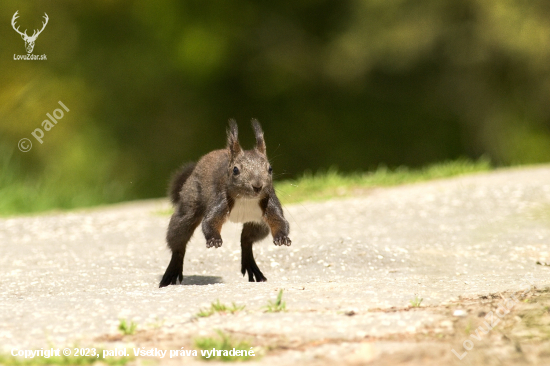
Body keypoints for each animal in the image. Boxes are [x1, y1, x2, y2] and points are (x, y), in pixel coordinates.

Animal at [158, 118, 294, 288]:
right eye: (235, 170)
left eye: (270, 169)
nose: (257, 186)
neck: (246, 199)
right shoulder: (220, 199)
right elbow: (210, 221)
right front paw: (214, 239)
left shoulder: (270, 201)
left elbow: (280, 221)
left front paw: (282, 237)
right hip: (190, 203)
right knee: (178, 240)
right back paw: (172, 271)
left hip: (258, 224)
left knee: (246, 240)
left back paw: (251, 265)